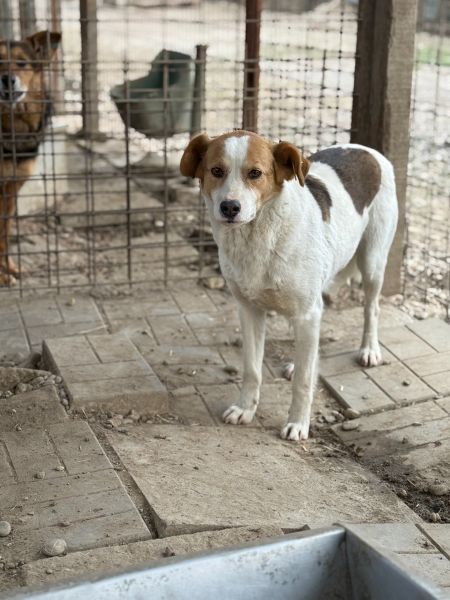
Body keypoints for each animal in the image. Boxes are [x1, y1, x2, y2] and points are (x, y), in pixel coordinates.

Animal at [180, 130, 398, 441]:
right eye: (216, 171)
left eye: (255, 173)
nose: (230, 207)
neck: (258, 238)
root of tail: (367, 149)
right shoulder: (249, 311)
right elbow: (252, 369)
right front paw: (245, 409)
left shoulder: (307, 313)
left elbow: (304, 383)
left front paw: (298, 423)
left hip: (373, 262)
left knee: (372, 308)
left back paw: (369, 350)